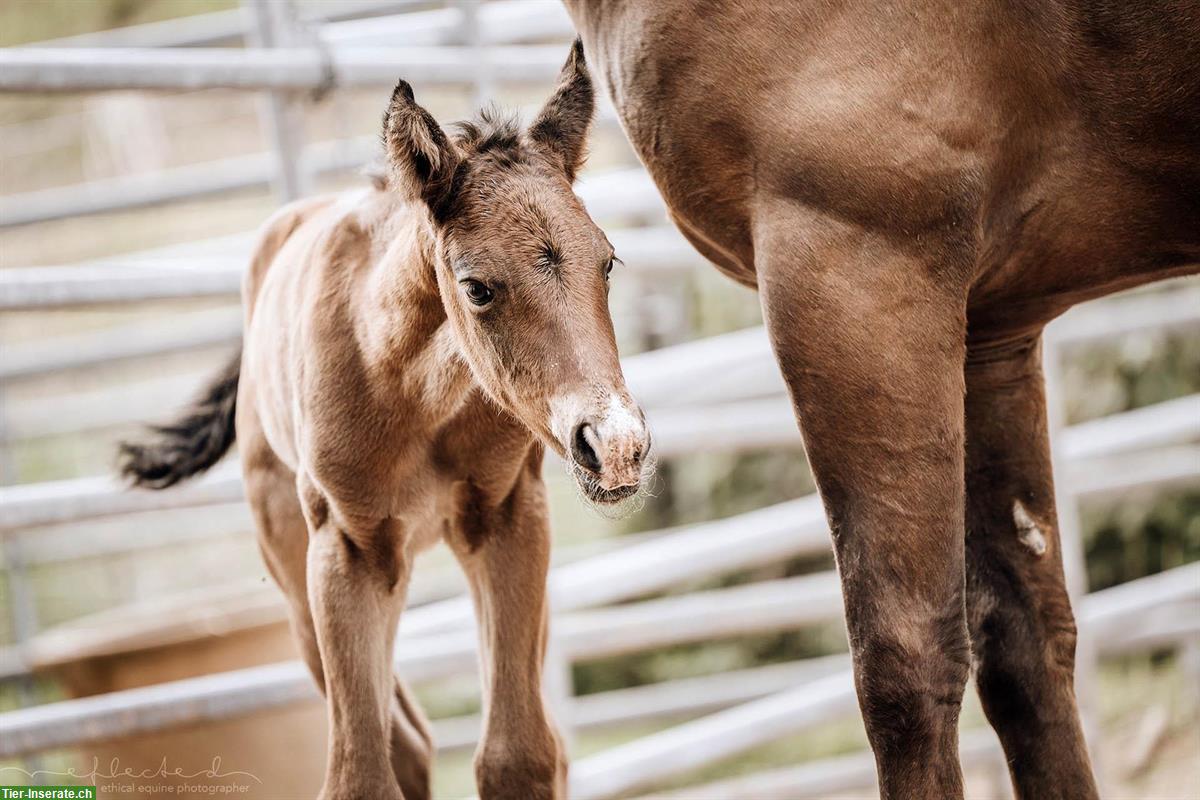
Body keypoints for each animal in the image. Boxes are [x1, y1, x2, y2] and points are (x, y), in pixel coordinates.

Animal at [120, 45, 648, 800]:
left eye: (607, 262)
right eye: (476, 287)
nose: (616, 446)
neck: (411, 394)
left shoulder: (508, 517)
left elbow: (519, 754)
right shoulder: (347, 552)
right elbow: (361, 774)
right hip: (300, 581)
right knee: (405, 744)